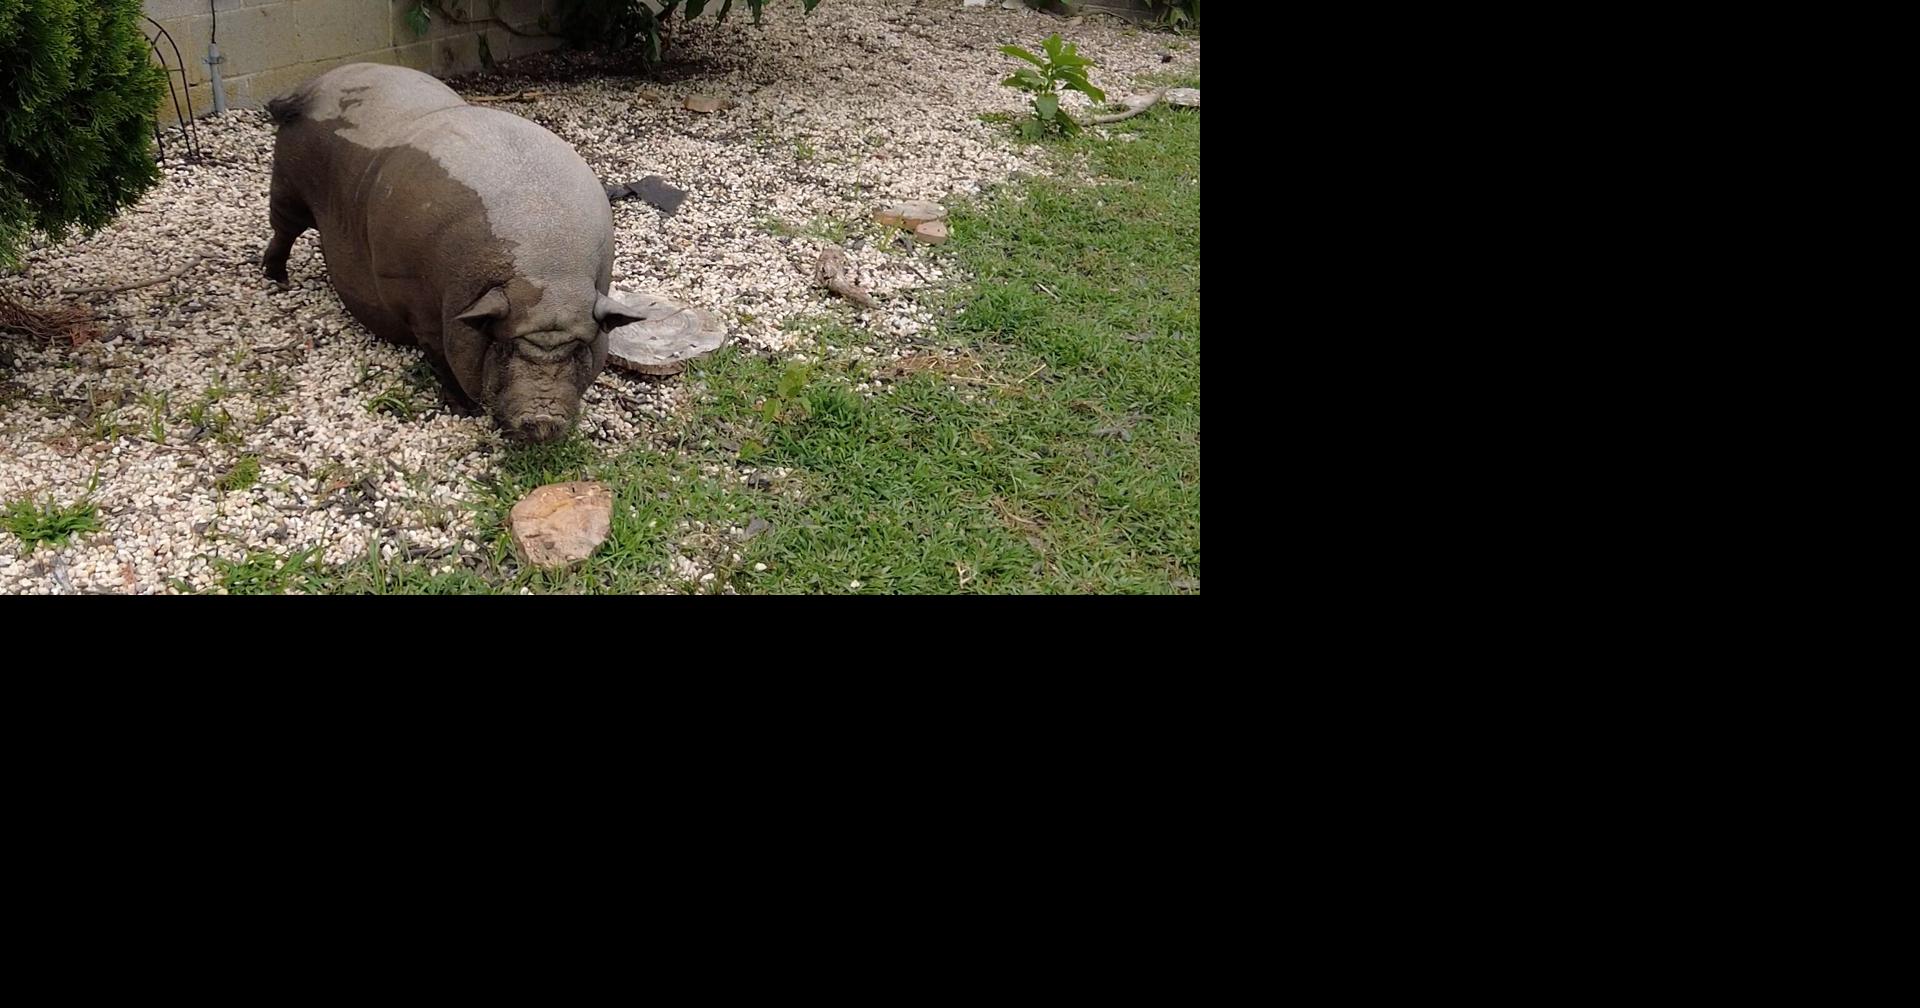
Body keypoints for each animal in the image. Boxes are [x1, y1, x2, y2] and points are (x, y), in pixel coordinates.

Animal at [261, 63, 648, 442]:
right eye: (504, 347)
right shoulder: (419, 309)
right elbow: (440, 358)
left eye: (579, 349)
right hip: (287, 185)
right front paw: (465, 410)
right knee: (283, 232)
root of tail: (309, 88)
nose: (542, 418)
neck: (546, 273)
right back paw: (277, 278)